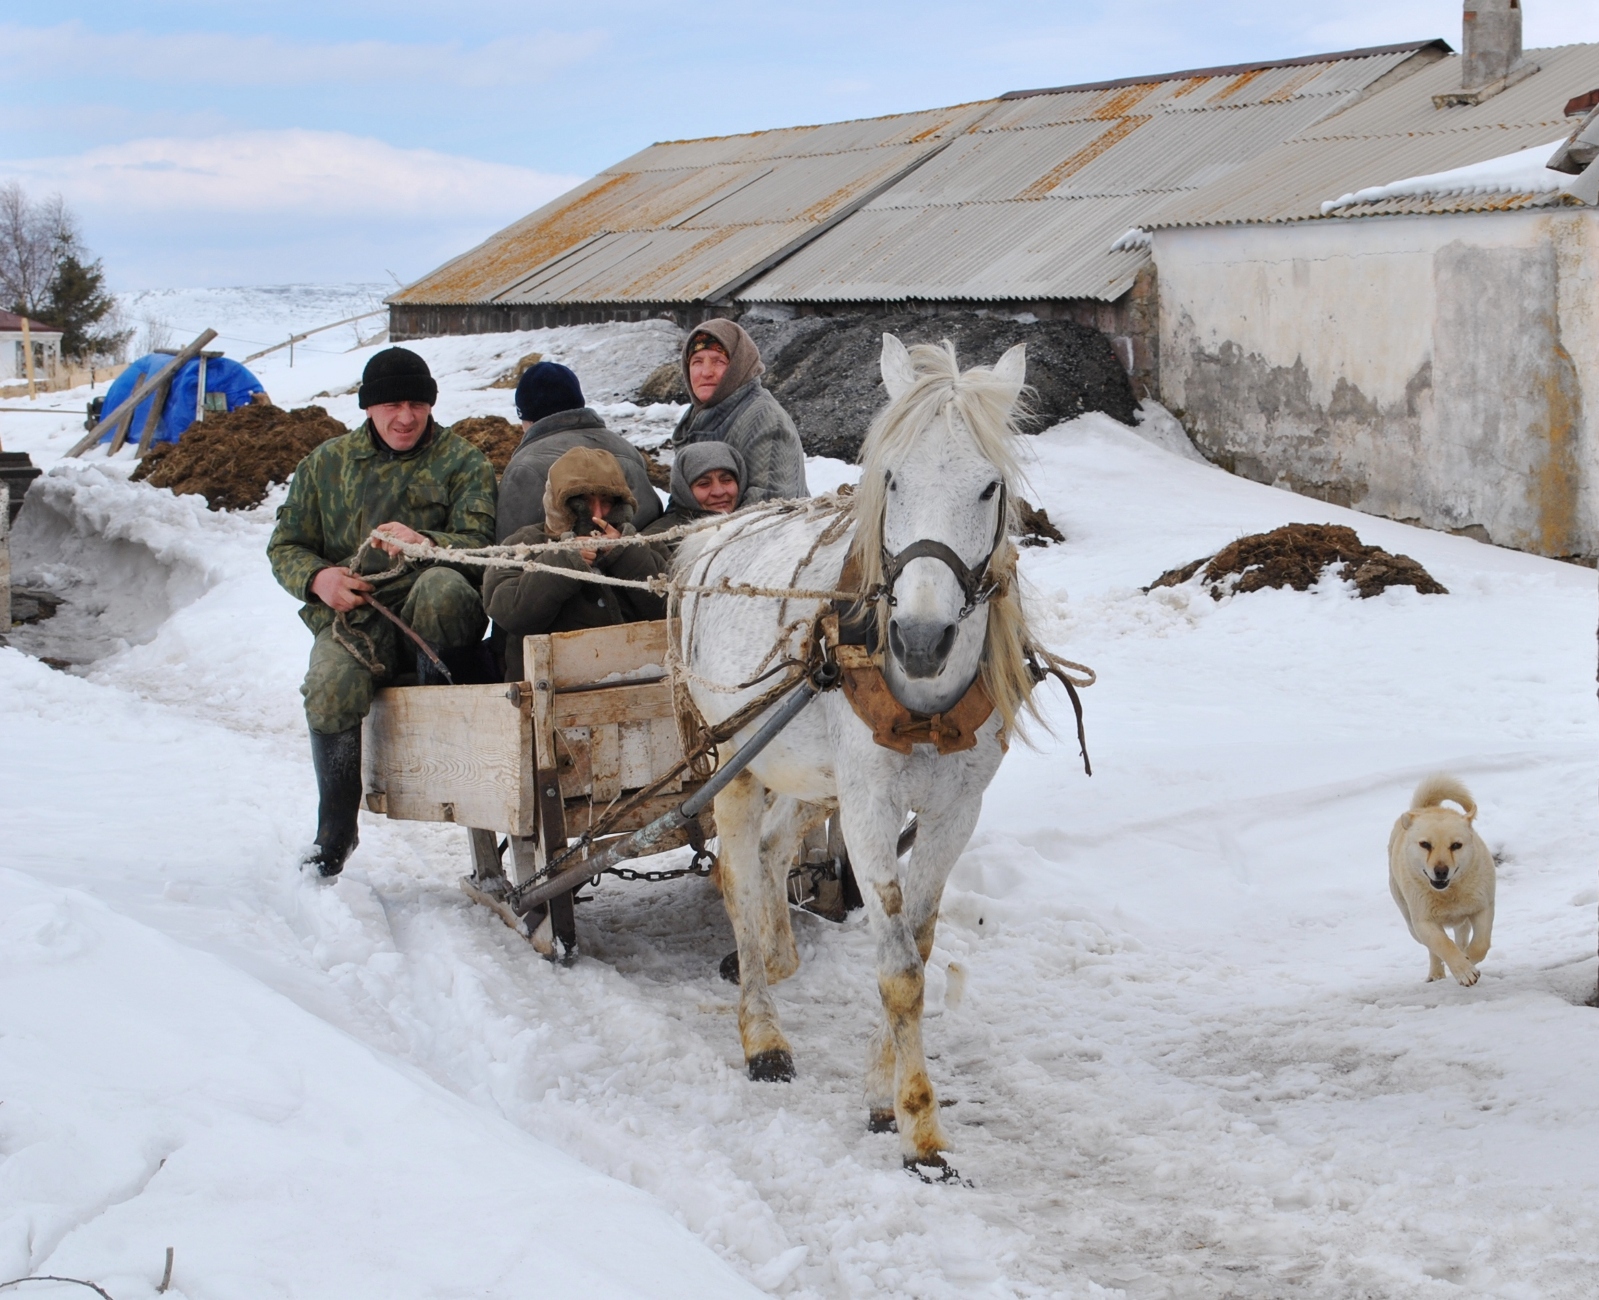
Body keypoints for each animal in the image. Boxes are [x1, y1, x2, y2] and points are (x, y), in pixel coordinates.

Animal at [671, 334, 1055, 1176]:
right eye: (890, 476)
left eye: (988, 486)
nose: (920, 638)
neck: (923, 704)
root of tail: (707, 537)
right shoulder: (873, 806)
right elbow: (900, 969)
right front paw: (921, 1131)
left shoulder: (953, 810)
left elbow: (918, 943)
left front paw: (883, 1097)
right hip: (733, 756)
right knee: (736, 875)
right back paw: (763, 1033)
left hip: (806, 774)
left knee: (774, 852)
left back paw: (778, 956)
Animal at [1387, 770, 1496, 984]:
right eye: (1425, 844)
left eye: (1456, 845)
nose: (1441, 871)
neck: (1448, 893)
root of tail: (1424, 808)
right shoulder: (1423, 922)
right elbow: (1442, 945)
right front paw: (1464, 970)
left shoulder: (1483, 906)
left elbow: (1481, 944)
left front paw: (1468, 959)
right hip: (1410, 922)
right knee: (1433, 949)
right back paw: (1436, 975)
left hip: (1463, 920)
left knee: (1461, 936)